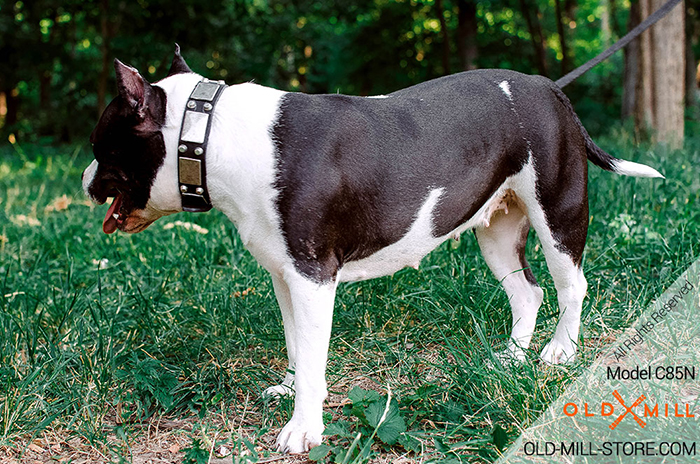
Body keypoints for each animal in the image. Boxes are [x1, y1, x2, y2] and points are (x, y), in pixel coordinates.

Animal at [82, 47, 660, 454]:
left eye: (98, 147)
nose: (85, 177)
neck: (212, 135)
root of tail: (549, 87)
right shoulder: (286, 276)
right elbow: (297, 345)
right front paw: (291, 389)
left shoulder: (313, 277)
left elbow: (313, 354)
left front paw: (303, 429)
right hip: (496, 231)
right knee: (526, 292)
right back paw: (512, 357)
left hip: (557, 210)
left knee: (571, 283)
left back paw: (560, 350)